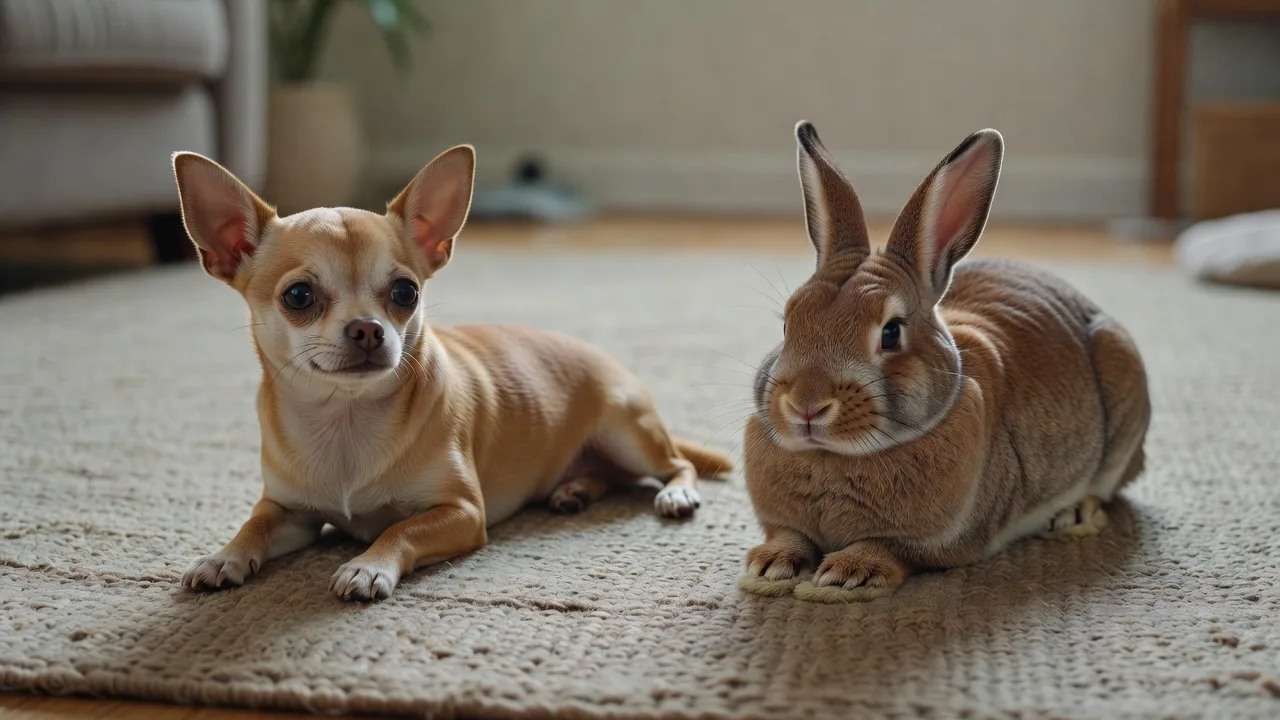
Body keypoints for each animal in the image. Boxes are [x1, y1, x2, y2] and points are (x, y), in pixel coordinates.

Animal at [738, 121, 1151, 603]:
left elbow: (889, 548)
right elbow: (790, 535)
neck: (833, 457)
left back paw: (1075, 514)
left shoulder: (935, 541)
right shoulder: (785, 522)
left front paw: (846, 575)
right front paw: (769, 566)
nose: (806, 406)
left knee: (1108, 487)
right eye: (788, 324)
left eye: (891, 333)